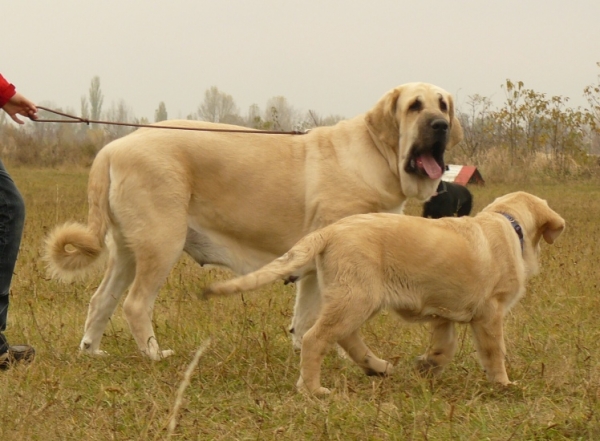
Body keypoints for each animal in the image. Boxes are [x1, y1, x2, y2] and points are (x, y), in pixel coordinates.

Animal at [44, 81, 462, 360]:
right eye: (414, 106)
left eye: (443, 105)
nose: (440, 124)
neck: (377, 155)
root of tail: (112, 149)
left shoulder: (316, 265)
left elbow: (305, 316)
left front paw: (304, 349)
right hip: (161, 243)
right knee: (134, 304)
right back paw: (154, 354)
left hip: (127, 250)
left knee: (102, 299)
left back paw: (91, 351)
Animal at [204, 191, 564, 394]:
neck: (510, 225)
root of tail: (330, 231)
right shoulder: (490, 313)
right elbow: (494, 352)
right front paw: (504, 384)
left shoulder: (443, 310)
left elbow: (444, 344)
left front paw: (429, 365)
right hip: (357, 297)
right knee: (316, 338)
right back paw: (313, 389)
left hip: (353, 296)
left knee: (345, 338)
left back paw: (376, 367)